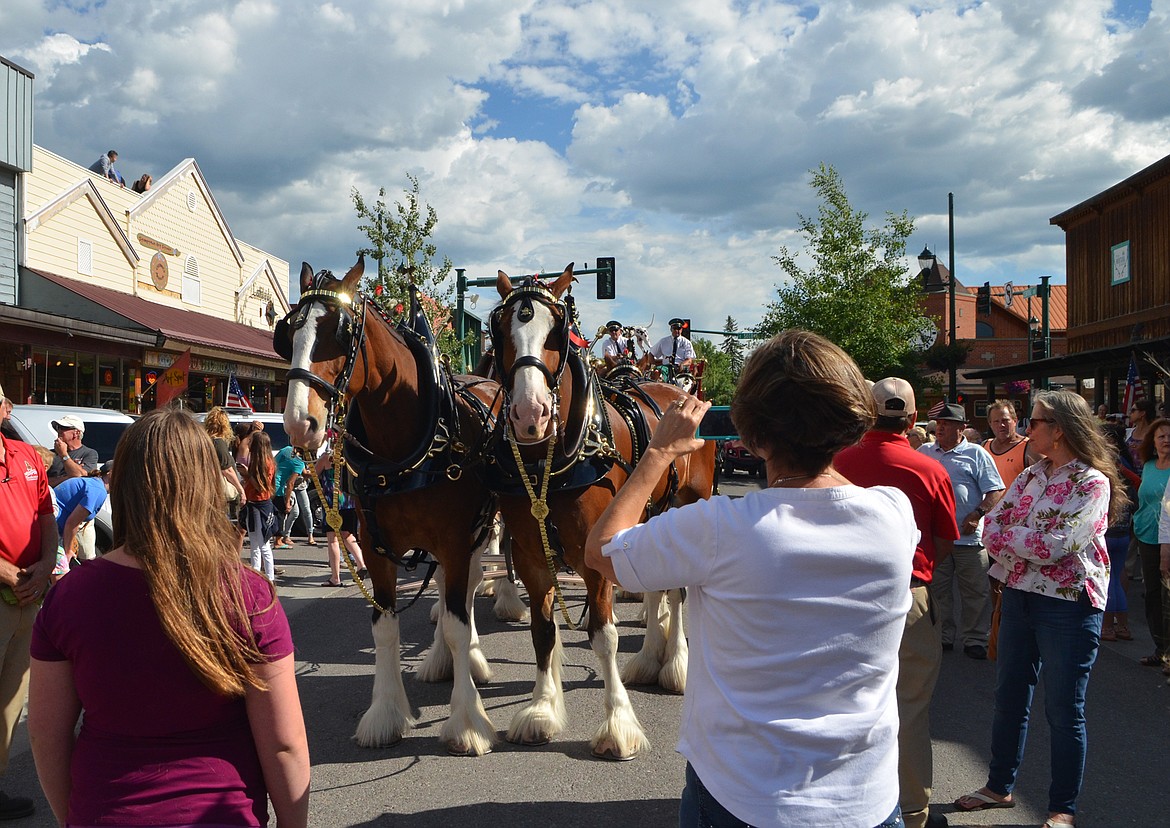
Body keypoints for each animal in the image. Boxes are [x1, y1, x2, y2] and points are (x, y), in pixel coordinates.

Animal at [285, 258, 505, 757]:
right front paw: (385, 714)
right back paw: (441, 660)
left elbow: (459, 621)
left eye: (339, 331)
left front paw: (467, 722)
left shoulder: (455, 540)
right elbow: (385, 627)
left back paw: (471, 660)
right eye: (288, 332)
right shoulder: (375, 546)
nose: (298, 423)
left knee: (467, 591)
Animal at [484, 265, 711, 757]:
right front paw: (542, 710)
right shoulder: (531, 555)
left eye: (557, 333)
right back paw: (648, 659)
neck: (550, 463)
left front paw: (618, 725)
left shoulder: (595, 555)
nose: (530, 415)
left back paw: (675, 665)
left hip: (689, 507)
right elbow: (543, 631)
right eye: (500, 331)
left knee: (677, 591)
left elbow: (604, 638)